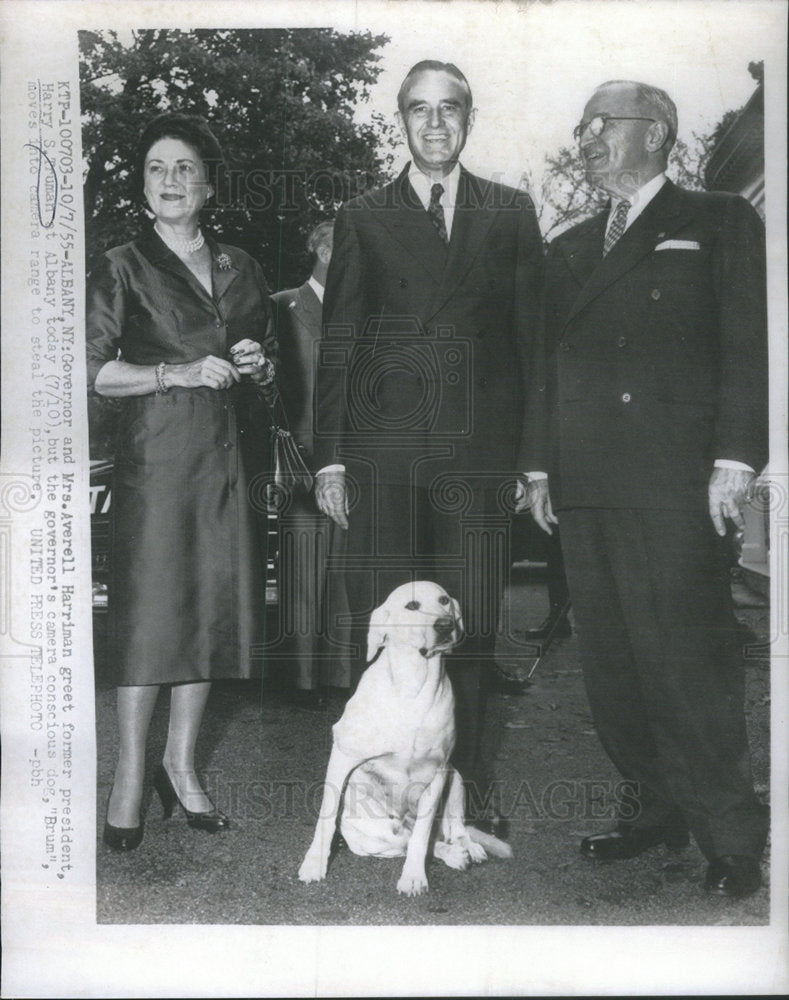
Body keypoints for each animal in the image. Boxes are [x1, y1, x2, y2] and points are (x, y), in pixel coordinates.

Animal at [298, 580, 510, 900]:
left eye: (444, 600)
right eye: (412, 606)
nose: (445, 625)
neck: (415, 686)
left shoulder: (438, 773)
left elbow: (422, 837)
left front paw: (413, 878)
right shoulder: (343, 757)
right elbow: (325, 818)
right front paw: (314, 864)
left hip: (457, 778)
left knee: (448, 830)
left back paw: (466, 847)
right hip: (374, 838)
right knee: (411, 841)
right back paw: (454, 853)